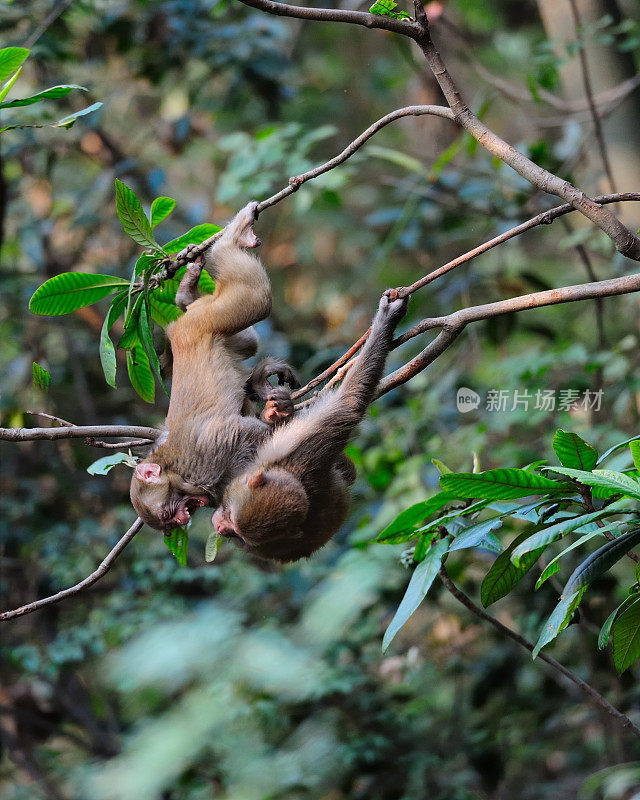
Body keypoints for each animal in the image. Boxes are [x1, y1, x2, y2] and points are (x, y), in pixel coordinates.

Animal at [132, 203, 300, 536]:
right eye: (169, 521)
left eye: (170, 511)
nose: (182, 519)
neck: (173, 469)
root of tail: (181, 326)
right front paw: (272, 409)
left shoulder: (204, 460)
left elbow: (244, 432)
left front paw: (275, 420)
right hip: (208, 317)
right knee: (247, 342)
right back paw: (186, 294)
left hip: (204, 322)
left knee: (256, 300)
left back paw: (234, 237)